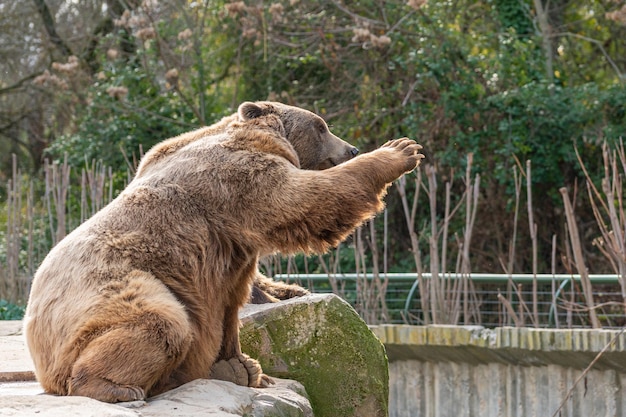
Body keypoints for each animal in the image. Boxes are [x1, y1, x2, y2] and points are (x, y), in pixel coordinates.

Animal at [24, 99, 424, 402]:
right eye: (321, 126)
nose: (351, 148)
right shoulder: (238, 182)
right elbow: (307, 196)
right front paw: (400, 150)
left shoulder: (231, 248)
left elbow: (228, 306)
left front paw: (243, 365)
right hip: (105, 287)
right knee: (160, 323)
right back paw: (116, 387)